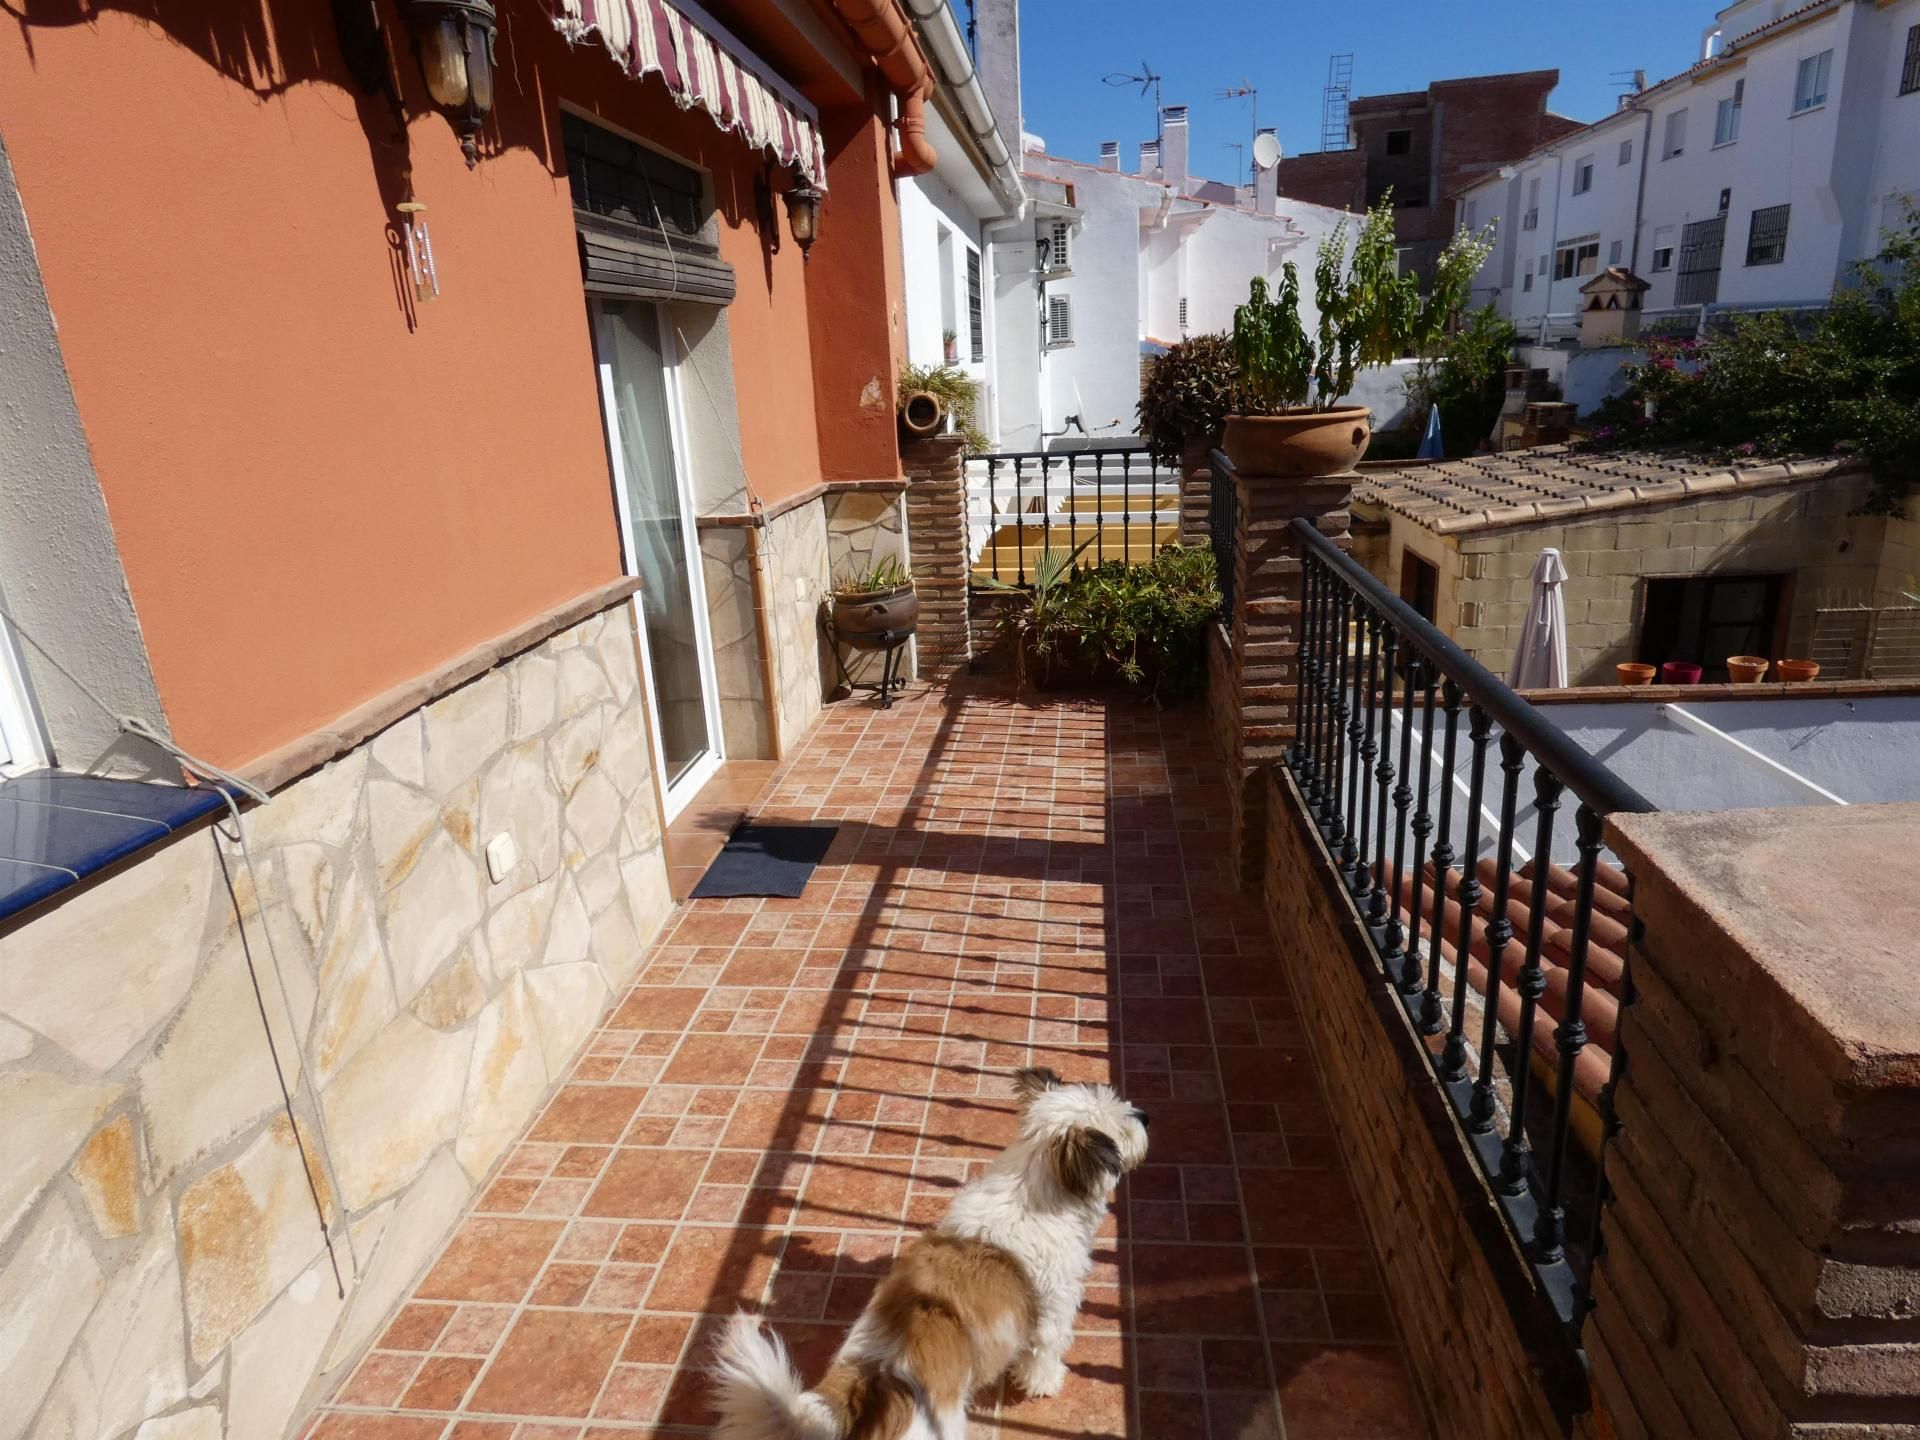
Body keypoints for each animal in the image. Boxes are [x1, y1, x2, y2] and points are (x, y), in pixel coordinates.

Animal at [714, 1059, 1144, 1440]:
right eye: (1123, 1125)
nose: (1145, 1115)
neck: (1029, 1187)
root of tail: (873, 1379)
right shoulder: (1054, 1307)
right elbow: (1044, 1352)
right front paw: (1046, 1382)